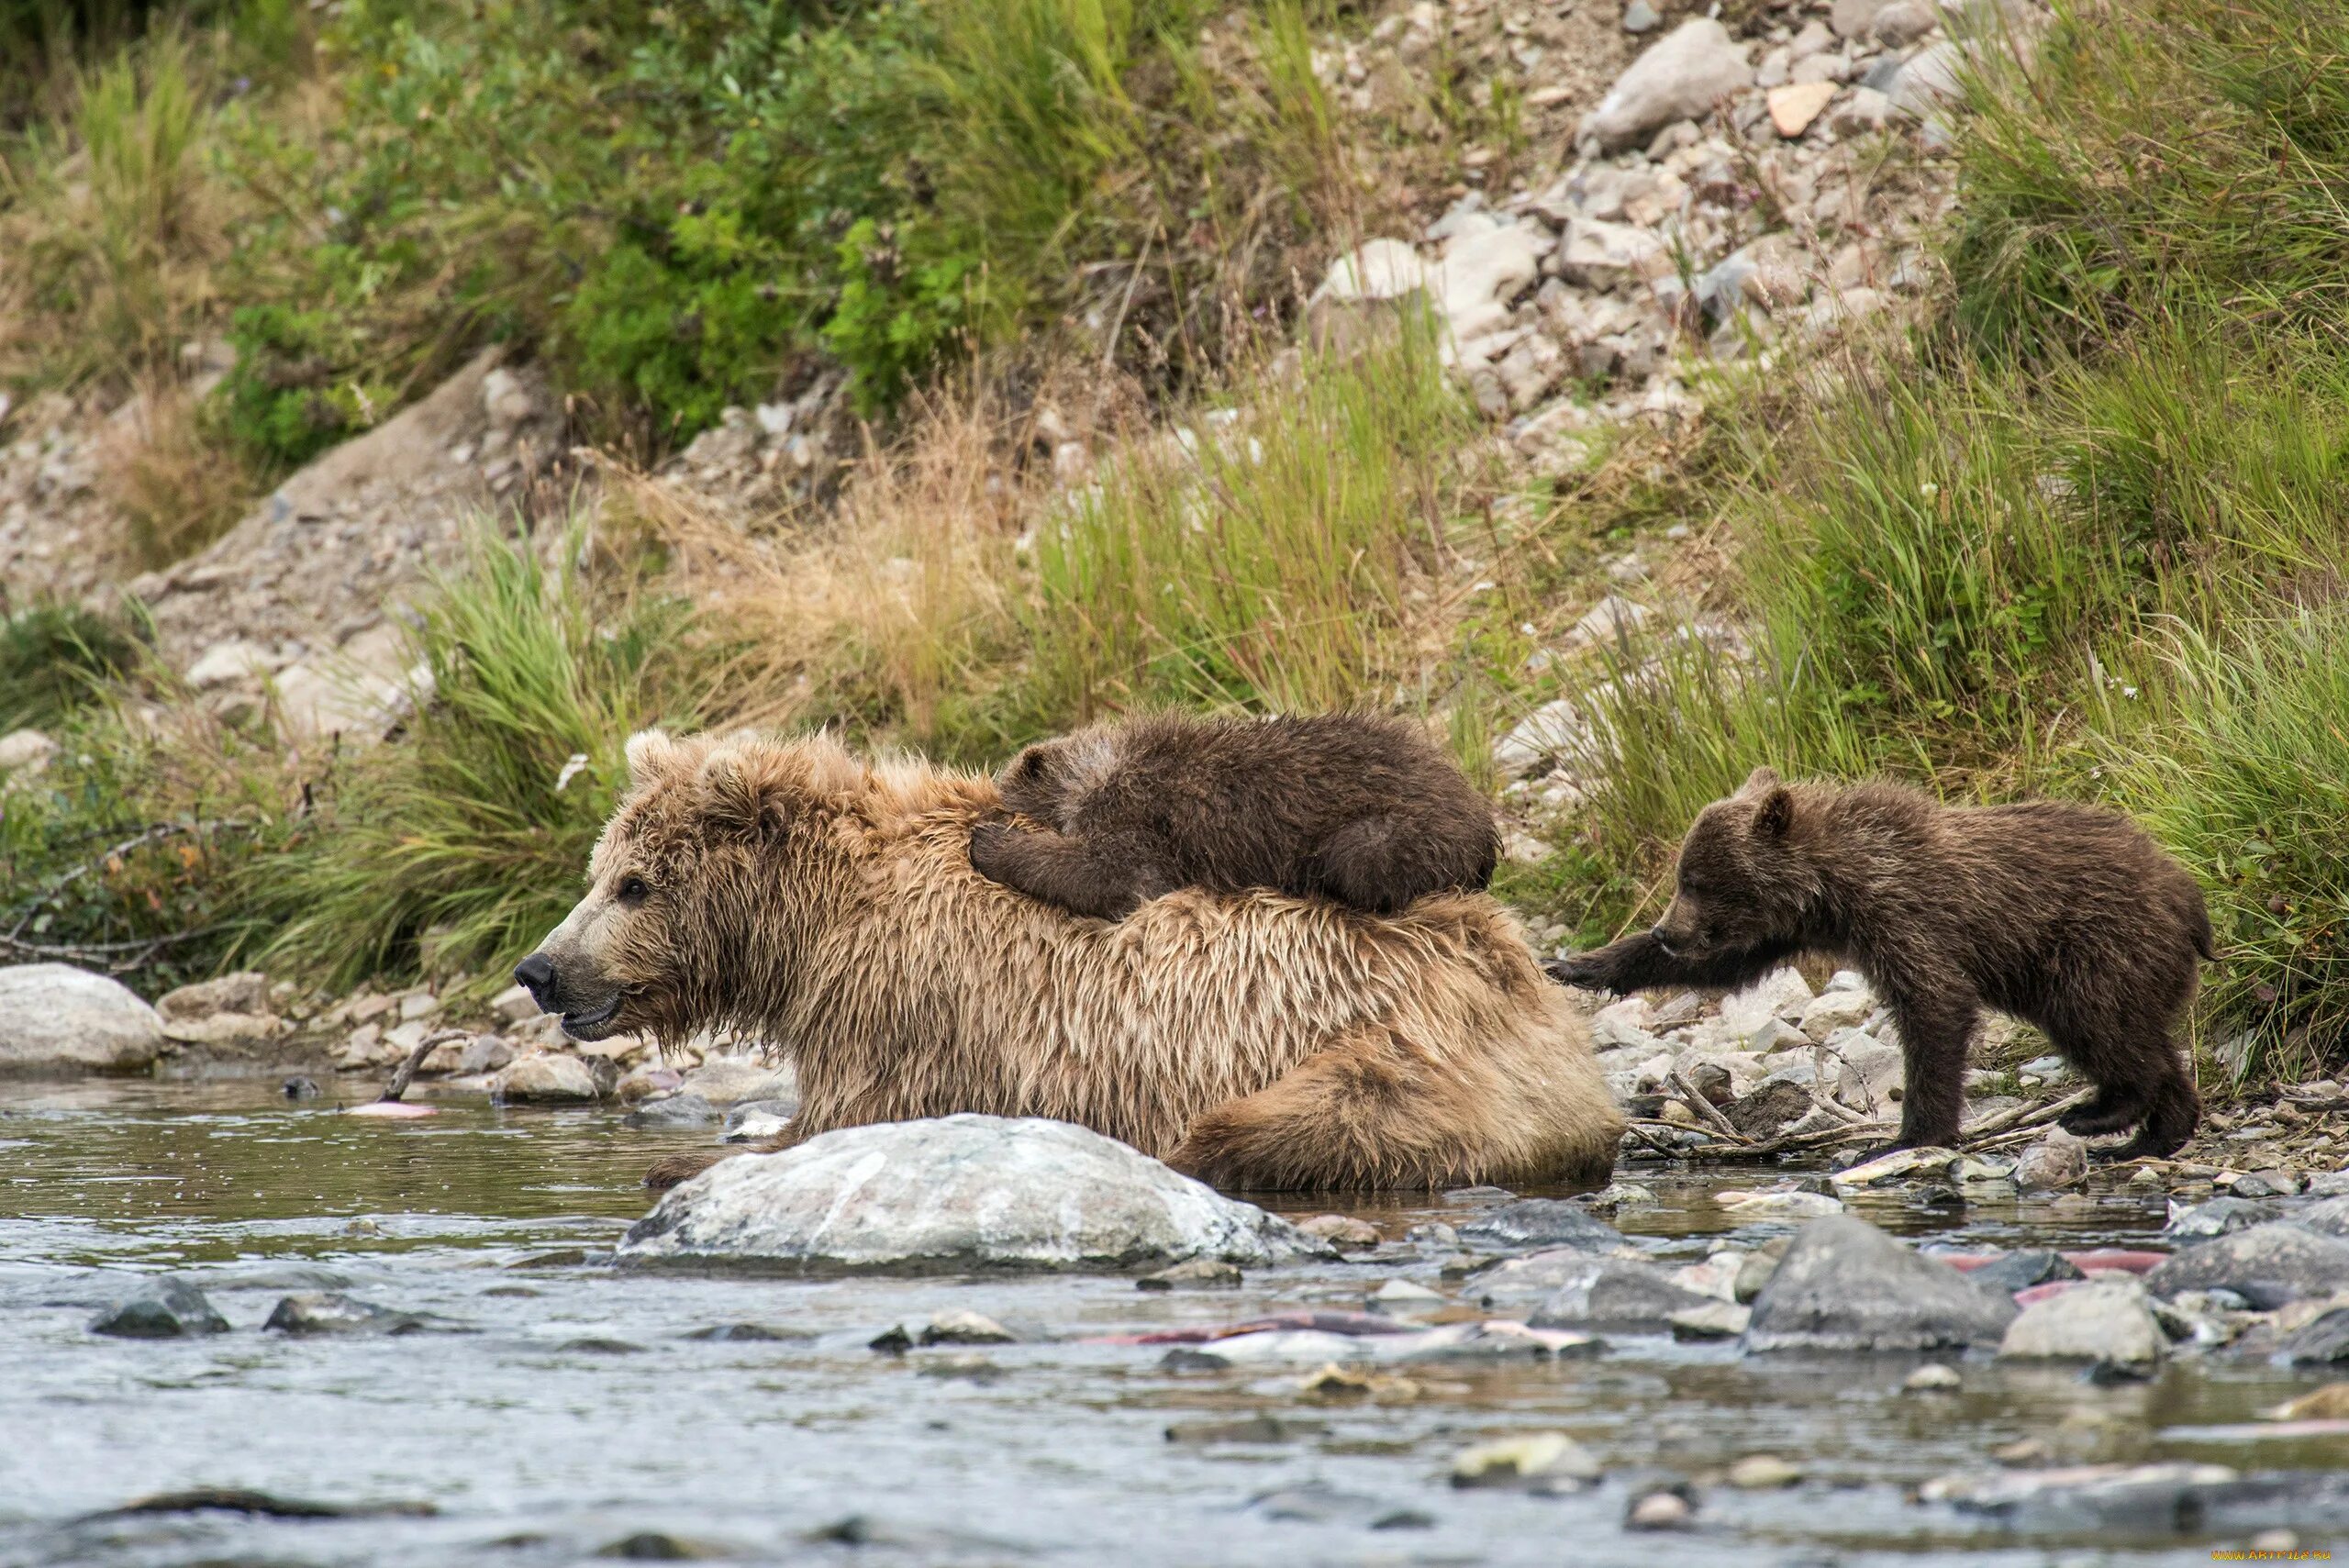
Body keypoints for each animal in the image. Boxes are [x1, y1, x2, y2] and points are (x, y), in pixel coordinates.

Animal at [512, 732, 1616, 1187]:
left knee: (1290, 1117)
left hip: (1395, 1041)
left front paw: (693, 1156)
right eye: (601, 870)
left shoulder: (909, 996)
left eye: (633, 884)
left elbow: (856, 1116)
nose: (540, 968)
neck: (812, 925)